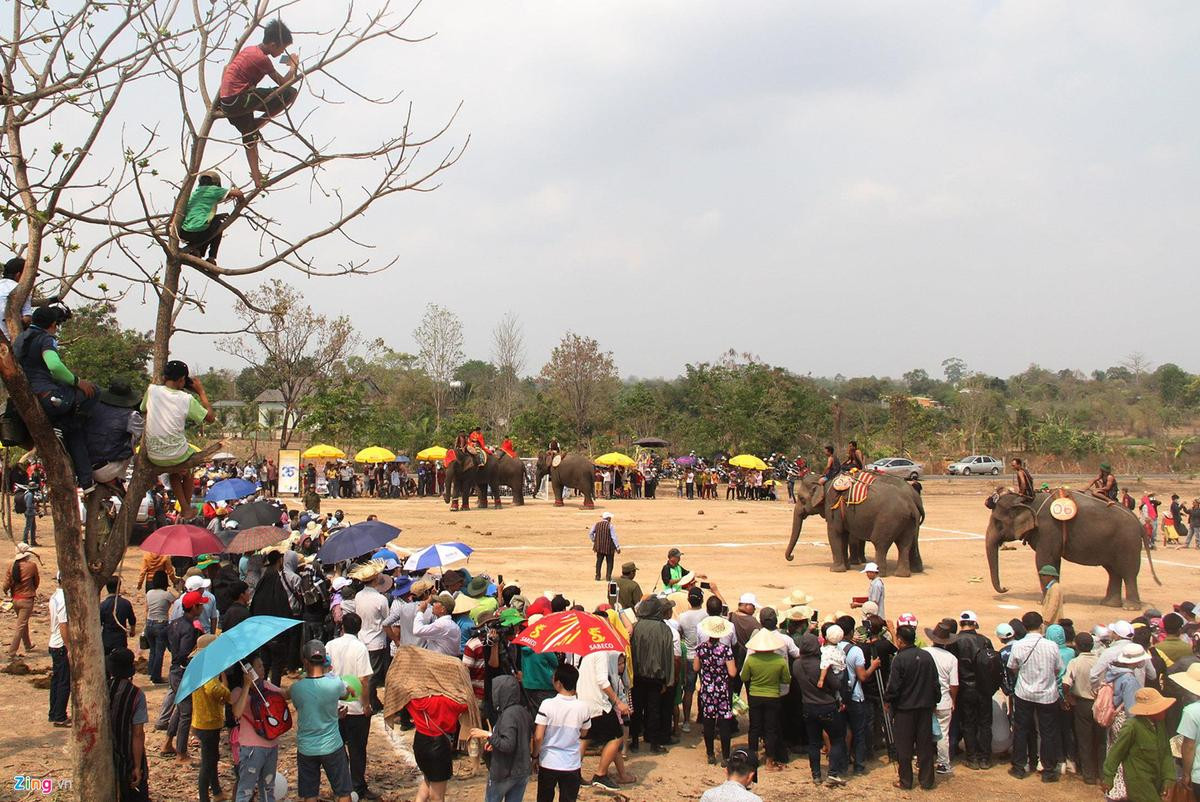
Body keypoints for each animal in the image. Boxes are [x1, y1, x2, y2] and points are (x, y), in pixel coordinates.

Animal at [782, 470, 921, 576]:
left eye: (801, 498)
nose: (792, 557)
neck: (824, 482)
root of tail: (911, 503)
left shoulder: (833, 507)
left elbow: (835, 533)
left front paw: (835, 570)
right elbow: (843, 535)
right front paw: (847, 567)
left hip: (888, 520)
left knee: (880, 543)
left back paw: (879, 573)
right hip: (907, 522)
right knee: (904, 544)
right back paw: (903, 574)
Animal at [984, 489, 1161, 607]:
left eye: (997, 523)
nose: (1006, 588)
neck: (1027, 500)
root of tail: (1138, 523)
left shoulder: (1048, 529)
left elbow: (1044, 560)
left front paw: (1043, 603)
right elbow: (1053, 563)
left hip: (1128, 543)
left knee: (1129, 572)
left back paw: (1130, 607)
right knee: (1114, 572)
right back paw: (1109, 604)